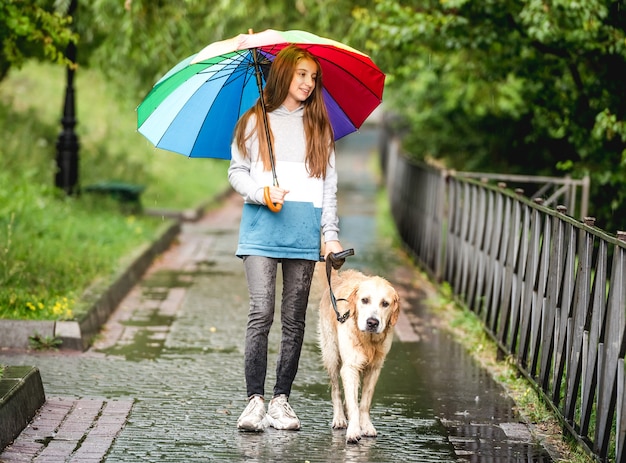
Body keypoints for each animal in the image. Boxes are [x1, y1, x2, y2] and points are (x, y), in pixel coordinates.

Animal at [316, 270, 400, 444]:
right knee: (336, 390)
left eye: (385, 303)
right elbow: (353, 404)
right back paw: (340, 418)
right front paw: (354, 430)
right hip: (331, 354)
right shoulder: (350, 368)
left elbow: (364, 402)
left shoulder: (374, 368)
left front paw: (366, 425)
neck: (368, 340)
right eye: (365, 300)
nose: (372, 322)